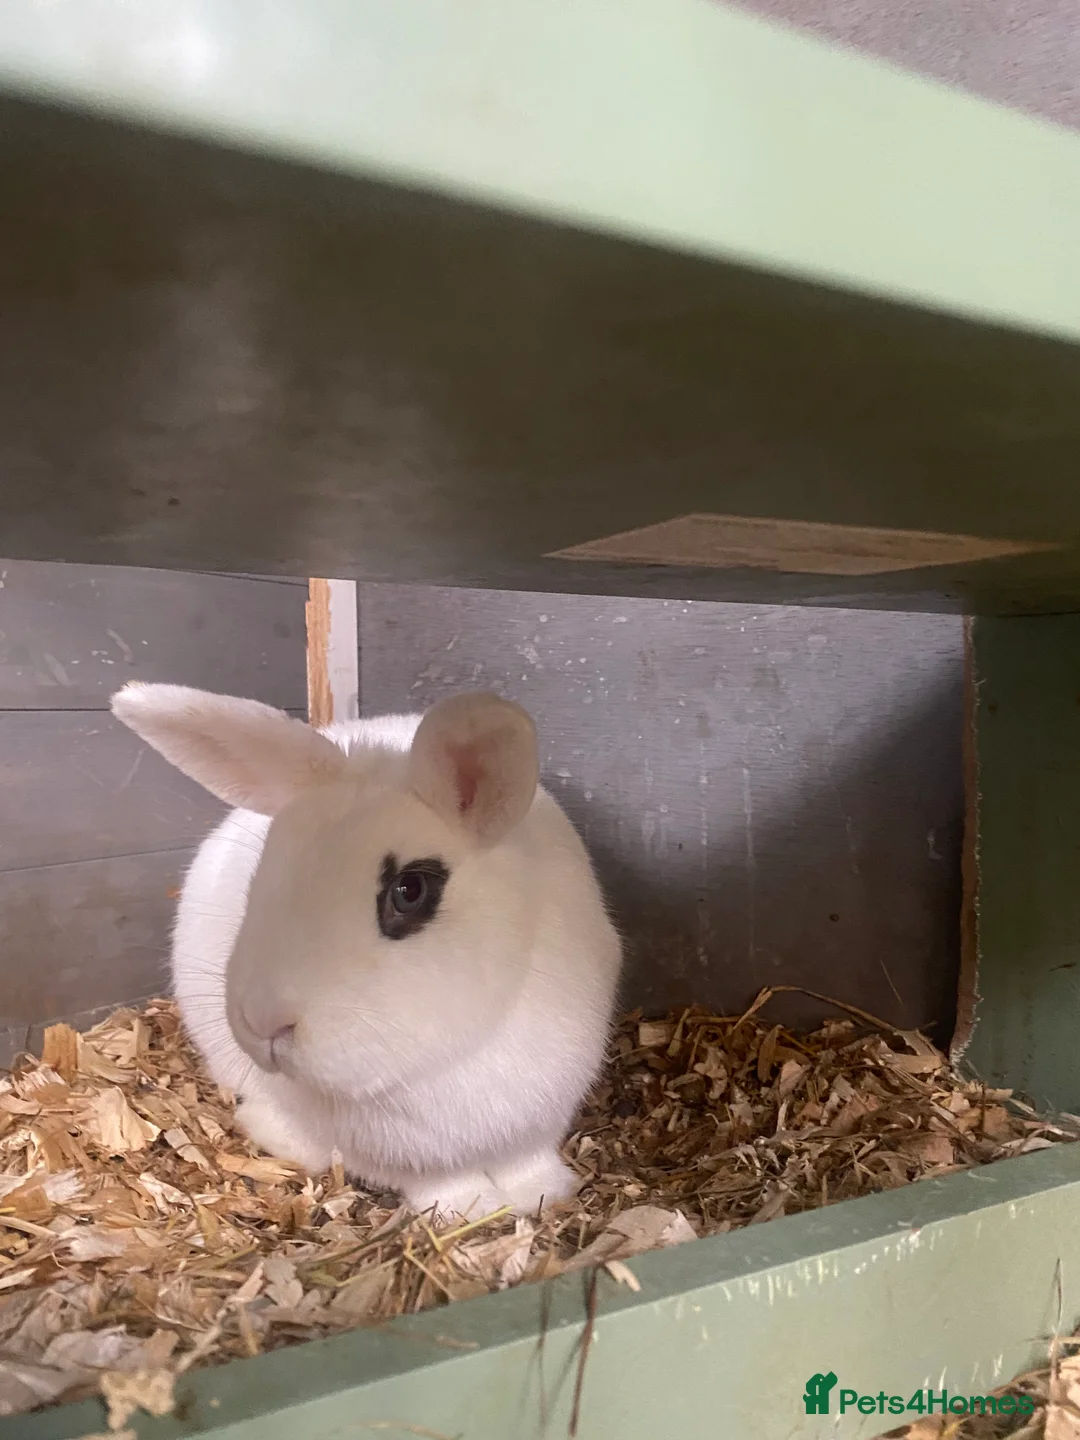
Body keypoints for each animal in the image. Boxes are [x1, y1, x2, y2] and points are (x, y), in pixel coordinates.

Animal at [110, 682, 622, 1220]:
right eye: (265, 865)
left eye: (409, 890)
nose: (264, 1021)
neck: (442, 1062)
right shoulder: (413, 1159)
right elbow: (443, 1181)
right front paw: (470, 1209)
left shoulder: (540, 1121)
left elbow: (527, 1161)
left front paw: (544, 1193)